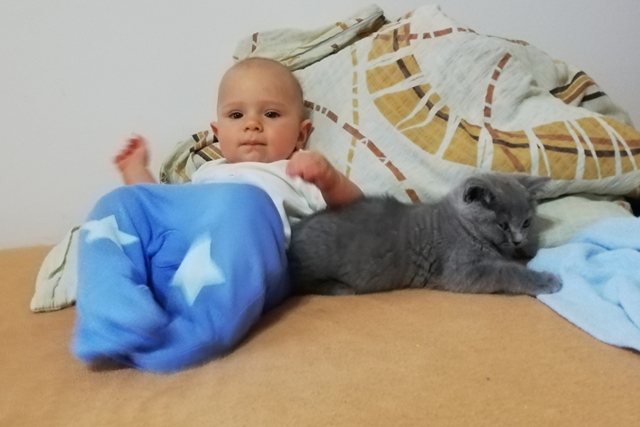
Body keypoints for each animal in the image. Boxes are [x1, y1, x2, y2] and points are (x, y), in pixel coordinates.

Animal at [287, 173, 562, 297]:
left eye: (526, 222)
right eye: (503, 225)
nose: (518, 239)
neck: (462, 226)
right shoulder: (461, 271)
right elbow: (506, 271)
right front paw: (547, 280)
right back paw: (339, 288)